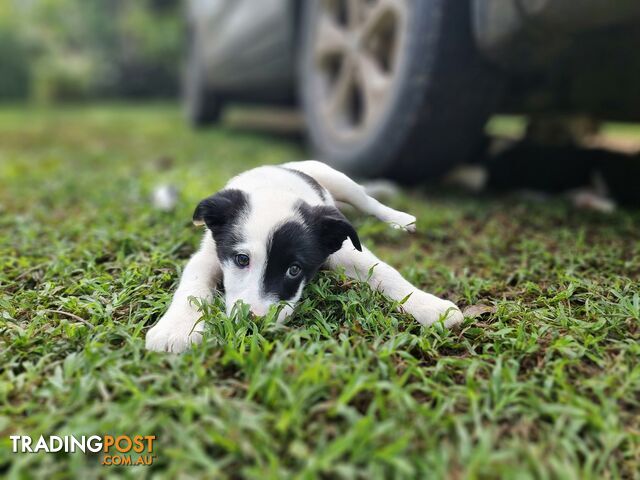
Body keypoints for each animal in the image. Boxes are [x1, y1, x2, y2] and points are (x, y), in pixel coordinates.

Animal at [147, 161, 462, 352]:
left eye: (294, 270)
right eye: (241, 260)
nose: (255, 321)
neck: (274, 191)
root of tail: (289, 165)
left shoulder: (344, 250)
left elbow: (385, 271)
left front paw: (430, 305)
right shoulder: (209, 254)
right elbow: (193, 286)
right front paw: (176, 328)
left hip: (339, 180)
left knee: (368, 201)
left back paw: (400, 219)